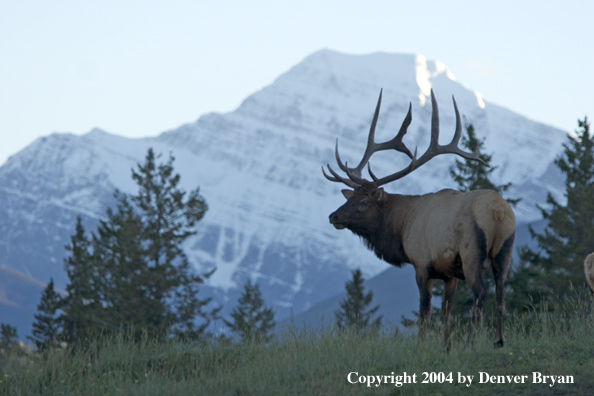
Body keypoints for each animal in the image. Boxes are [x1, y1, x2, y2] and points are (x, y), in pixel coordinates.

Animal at [324, 89, 512, 350]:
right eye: (350, 197)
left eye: (364, 203)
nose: (334, 216)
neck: (401, 229)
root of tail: (498, 212)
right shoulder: (449, 273)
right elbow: (446, 310)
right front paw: (446, 347)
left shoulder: (422, 263)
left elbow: (424, 310)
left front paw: (422, 344)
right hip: (505, 251)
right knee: (502, 293)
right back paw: (499, 340)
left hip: (471, 252)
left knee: (481, 293)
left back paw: (471, 343)